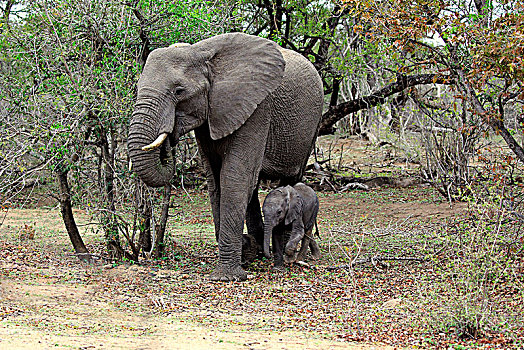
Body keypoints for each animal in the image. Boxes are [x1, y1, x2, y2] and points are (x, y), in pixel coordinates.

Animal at [127, 32, 324, 282]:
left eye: (179, 91)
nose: (169, 136)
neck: (200, 53)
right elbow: (215, 179)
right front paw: (244, 255)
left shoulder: (258, 107)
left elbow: (233, 176)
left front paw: (227, 276)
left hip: (310, 128)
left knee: (290, 178)